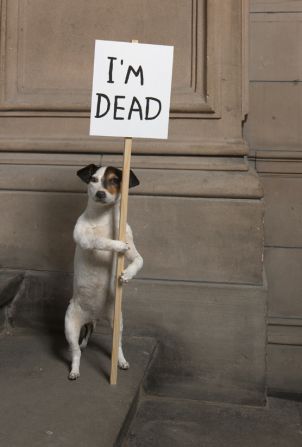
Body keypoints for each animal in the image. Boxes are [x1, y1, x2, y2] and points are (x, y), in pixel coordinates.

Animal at [65, 164, 143, 382]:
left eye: (114, 180)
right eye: (93, 179)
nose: (100, 193)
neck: (103, 219)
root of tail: (94, 316)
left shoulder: (133, 250)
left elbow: (138, 260)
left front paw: (127, 274)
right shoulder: (84, 239)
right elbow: (99, 241)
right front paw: (117, 245)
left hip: (118, 322)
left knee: (118, 345)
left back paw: (121, 361)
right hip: (70, 326)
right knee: (76, 352)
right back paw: (74, 370)